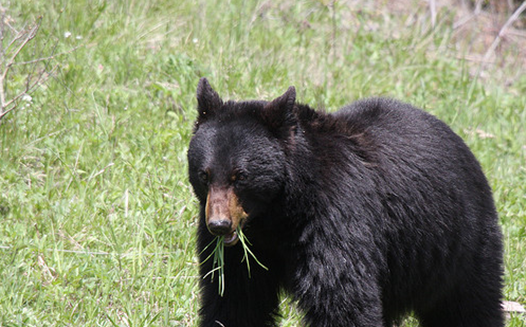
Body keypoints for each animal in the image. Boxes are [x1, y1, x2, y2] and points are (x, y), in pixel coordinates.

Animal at [188, 79, 506, 327]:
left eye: (241, 176)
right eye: (204, 175)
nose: (219, 224)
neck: (278, 217)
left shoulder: (335, 221)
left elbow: (342, 297)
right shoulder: (246, 250)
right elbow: (235, 298)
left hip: (459, 246)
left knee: (469, 305)